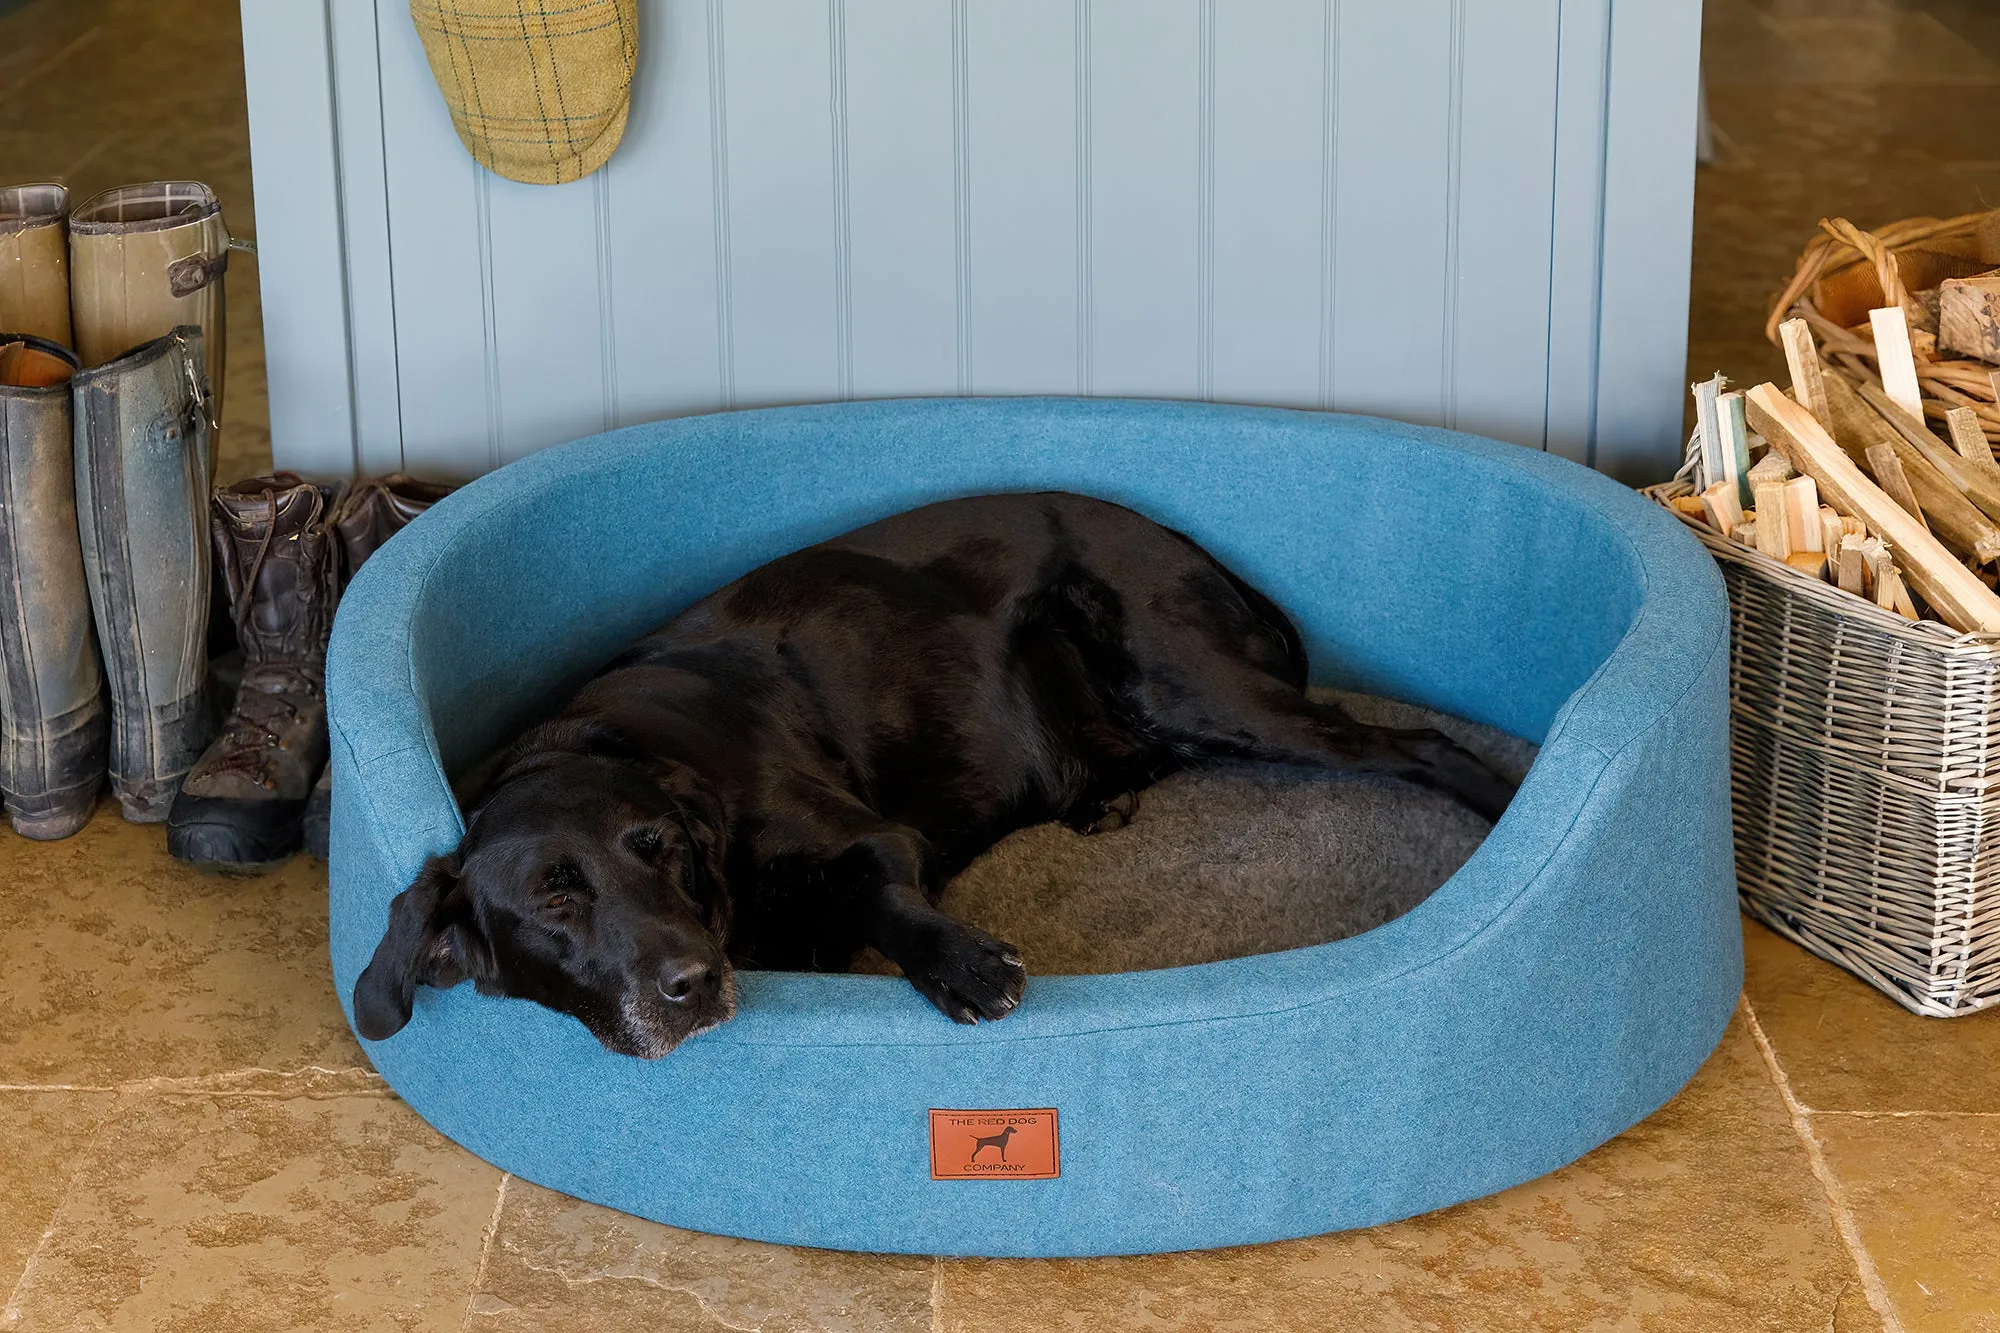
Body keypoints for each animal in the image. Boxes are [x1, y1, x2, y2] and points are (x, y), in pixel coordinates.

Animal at [360, 492, 1512, 1056]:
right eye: (555, 897)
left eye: (665, 853)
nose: (690, 979)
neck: (614, 744)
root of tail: (1173, 535)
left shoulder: (870, 839)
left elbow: (882, 895)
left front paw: (959, 962)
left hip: (1193, 685)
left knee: (1424, 749)